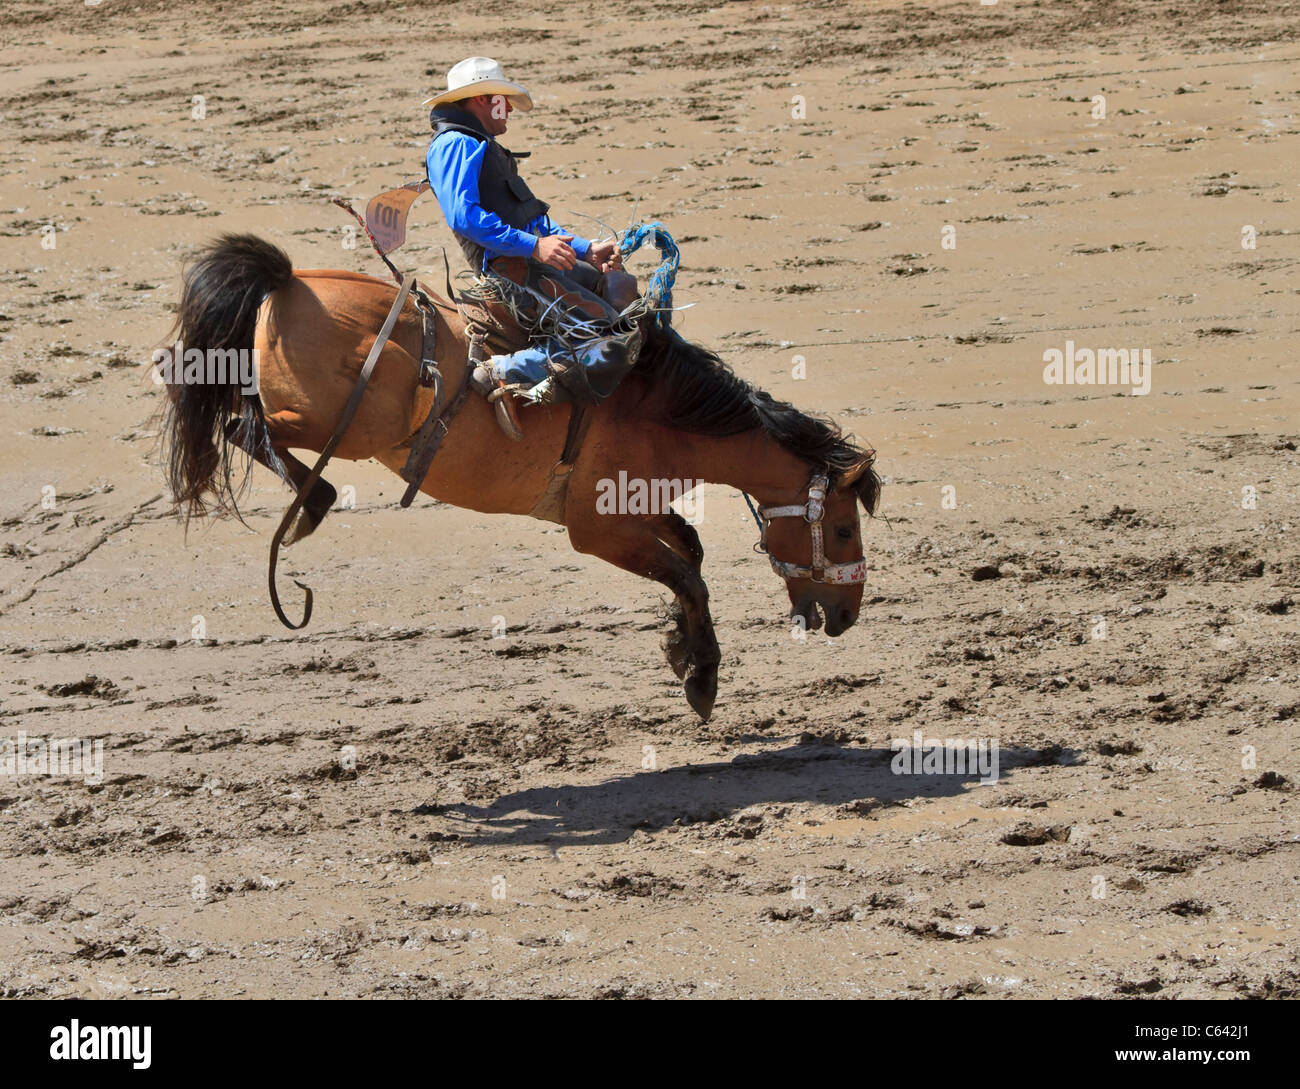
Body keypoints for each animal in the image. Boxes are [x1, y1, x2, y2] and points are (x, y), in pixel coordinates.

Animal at [157, 233, 878, 722]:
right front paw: (701, 678)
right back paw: (312, 502)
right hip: (344, 424)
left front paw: (681, 647)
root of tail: (289, 279)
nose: (846, 616)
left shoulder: (632, 509)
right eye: (844, 531)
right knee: (243, 422)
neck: (656, 408)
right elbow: (687, 574)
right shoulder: (597, 530)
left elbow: (691, 554)